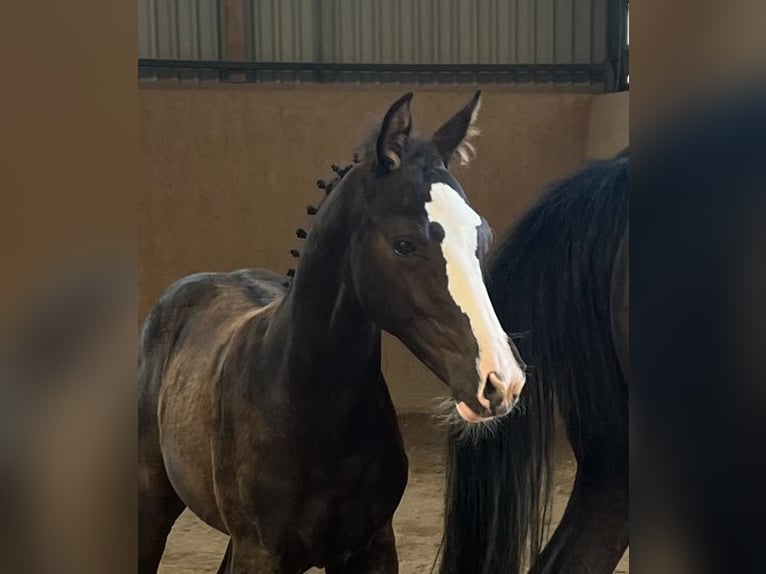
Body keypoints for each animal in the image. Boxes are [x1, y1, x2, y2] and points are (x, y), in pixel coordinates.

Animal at [138, 91, 527, 574]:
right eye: (404, 244)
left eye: (482, 237)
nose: (501, 381)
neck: (305, 406)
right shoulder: (260, 551)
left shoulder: (372, 547)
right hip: (152, 503)